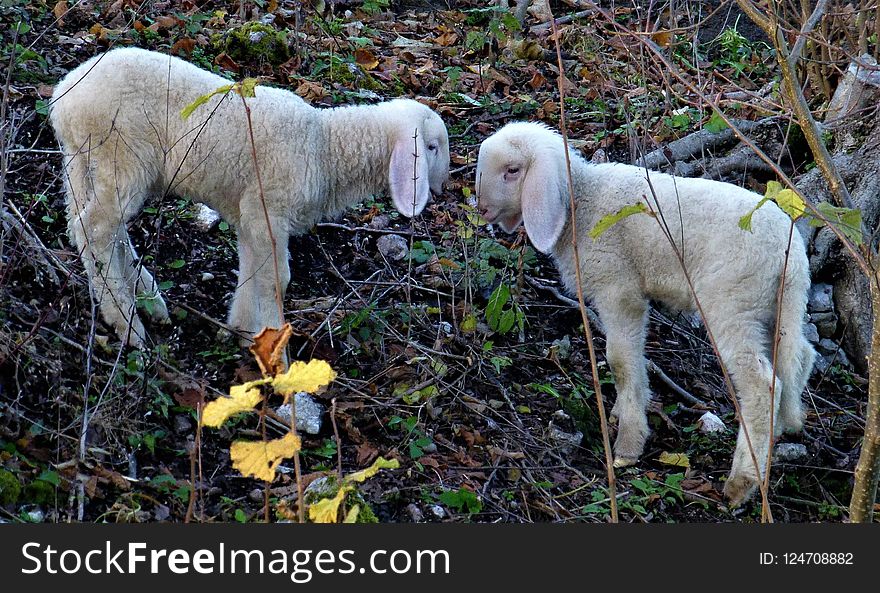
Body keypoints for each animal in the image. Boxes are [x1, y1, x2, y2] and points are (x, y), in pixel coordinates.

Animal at [49, 48, 450, 346]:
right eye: (431, 147)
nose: (443, 187)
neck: (325, 147)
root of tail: (62, 99)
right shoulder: (267, 210)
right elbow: (276, 280)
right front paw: (277, 359)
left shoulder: (248, 215)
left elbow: (250, 270)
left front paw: (241, 331)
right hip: (122, 158)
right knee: (94, 229)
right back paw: (126, 322)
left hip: (83, 163)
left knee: (87, 225)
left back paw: (147, 298)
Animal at [478, 121, 816, 504]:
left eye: (512, 171)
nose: (482, 209)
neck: (583, 199)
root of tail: (790, 257)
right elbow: (634, 358)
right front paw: (623, 412)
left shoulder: (618, 288)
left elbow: (621, 361)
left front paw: (627, 445)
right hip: (778, 307)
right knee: (801, 355)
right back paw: (783, 429)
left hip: (732, 306)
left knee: (762, 385)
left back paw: (742, 481)